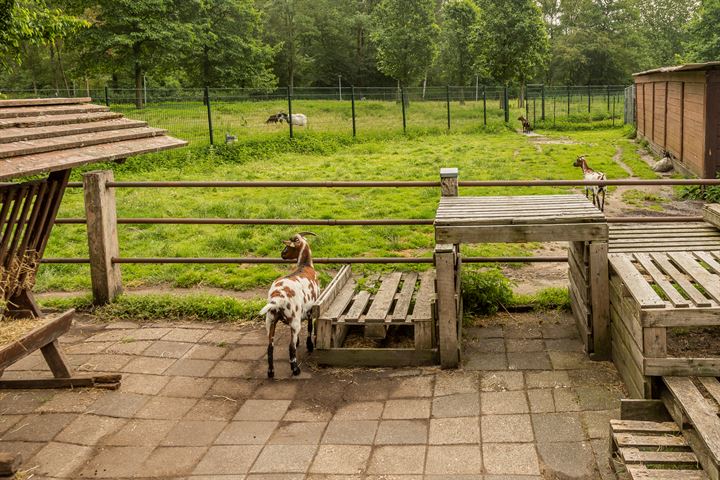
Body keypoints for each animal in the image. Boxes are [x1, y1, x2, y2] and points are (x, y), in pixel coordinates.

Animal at [258, 232, 316, 378]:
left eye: (287, 246)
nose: (282, 254)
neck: (305, 266)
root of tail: (278, 298)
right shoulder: (310, 310)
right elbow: (310, 327)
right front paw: (309, 345)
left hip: (270, 320)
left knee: (270, 347)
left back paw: (271, 372)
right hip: (293, 320)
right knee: (291, 347)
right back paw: (295, 370)